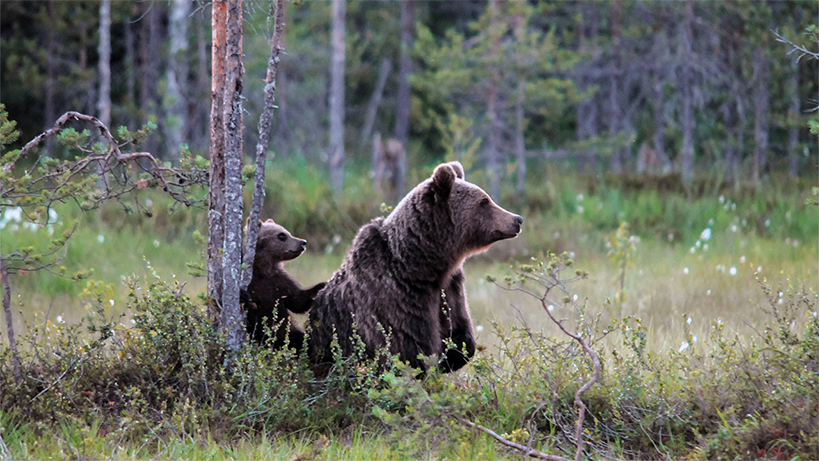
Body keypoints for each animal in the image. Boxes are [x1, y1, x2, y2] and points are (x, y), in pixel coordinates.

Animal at [308, 162, 524, 374]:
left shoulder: (450, 286)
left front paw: (454, 352)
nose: (517, 219)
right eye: (484, 201)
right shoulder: (395, 296)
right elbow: (407, 347)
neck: (420, 265)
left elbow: (458, 328)